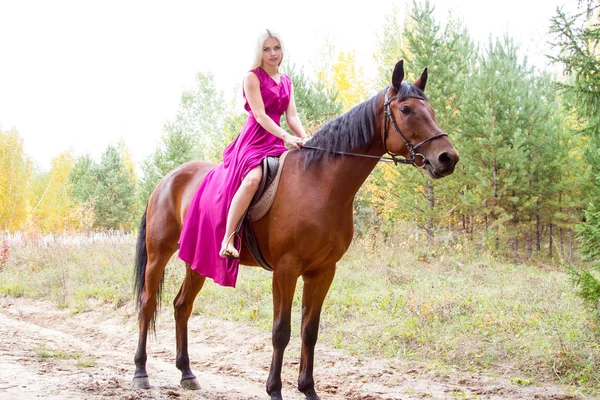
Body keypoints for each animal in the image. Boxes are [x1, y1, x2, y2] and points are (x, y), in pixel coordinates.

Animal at [132, 60, 460, 400]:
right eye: (406, 109)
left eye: (431, 110)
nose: (447, 158)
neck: (319, 183)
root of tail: (167, 179)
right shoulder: (286, 269)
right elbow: (281, 331)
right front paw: (275, 390)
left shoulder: (322, 271)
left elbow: (309, 330)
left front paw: (308, 389)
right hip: (159, 254)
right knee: (147, 303)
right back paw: (141, 372)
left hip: (198, 260)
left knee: (182, 306)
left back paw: (186, 373)